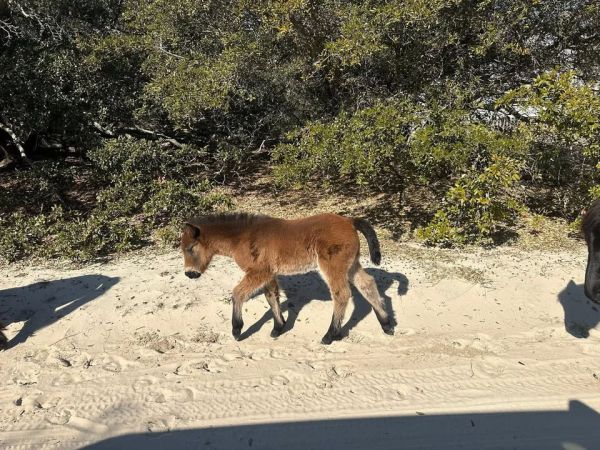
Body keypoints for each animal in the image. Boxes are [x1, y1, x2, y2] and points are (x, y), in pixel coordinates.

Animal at [180, 212, 393, 344]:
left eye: (190, 248)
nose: (190, 274)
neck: (242, 237)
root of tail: (349, 220)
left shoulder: (259, 272)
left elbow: (237, 293)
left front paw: (237, 329)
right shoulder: (269, 273)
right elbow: (271, 296)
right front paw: (278, 327)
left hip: (333, 265)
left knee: (341, 294)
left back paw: (329, 335)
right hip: (350, 265)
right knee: (367, 284)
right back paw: (386, 324)